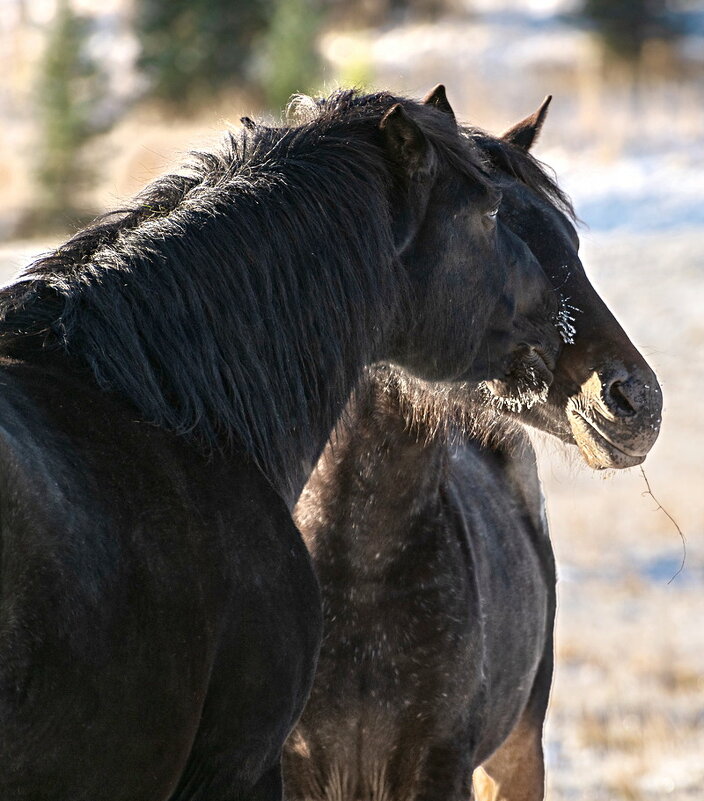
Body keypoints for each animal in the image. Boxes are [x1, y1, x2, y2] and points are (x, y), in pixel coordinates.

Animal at [284, 98, 664, 800]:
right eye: (497, 230)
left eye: (572, 243)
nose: (636, 400)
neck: (360, 572)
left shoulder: (442, 762)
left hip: (516, 754)